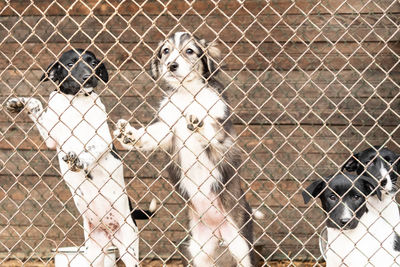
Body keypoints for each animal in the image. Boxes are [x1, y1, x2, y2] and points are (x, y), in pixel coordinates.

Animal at [7, 49, 156, 267]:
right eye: (70, 64)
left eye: (93, 63)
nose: (89, 76)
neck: (74, 101)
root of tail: (109, 232)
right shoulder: (51, 137)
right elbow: (36, 104)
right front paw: (20, 103)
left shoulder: (102, 138)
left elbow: (90, 148)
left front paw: (79, 160)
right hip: (92, 251)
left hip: (128, 243)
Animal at [114, 32, 255, 266]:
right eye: (165, 51)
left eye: (189, 51)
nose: (171, 65)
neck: (187, 94)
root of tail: (218, 230)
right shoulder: (167, 130)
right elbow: (150, 135)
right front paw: (130, 135)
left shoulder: (223, 134)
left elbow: (211, 128)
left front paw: (198, 123)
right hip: (198, 250)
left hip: (240, 243)